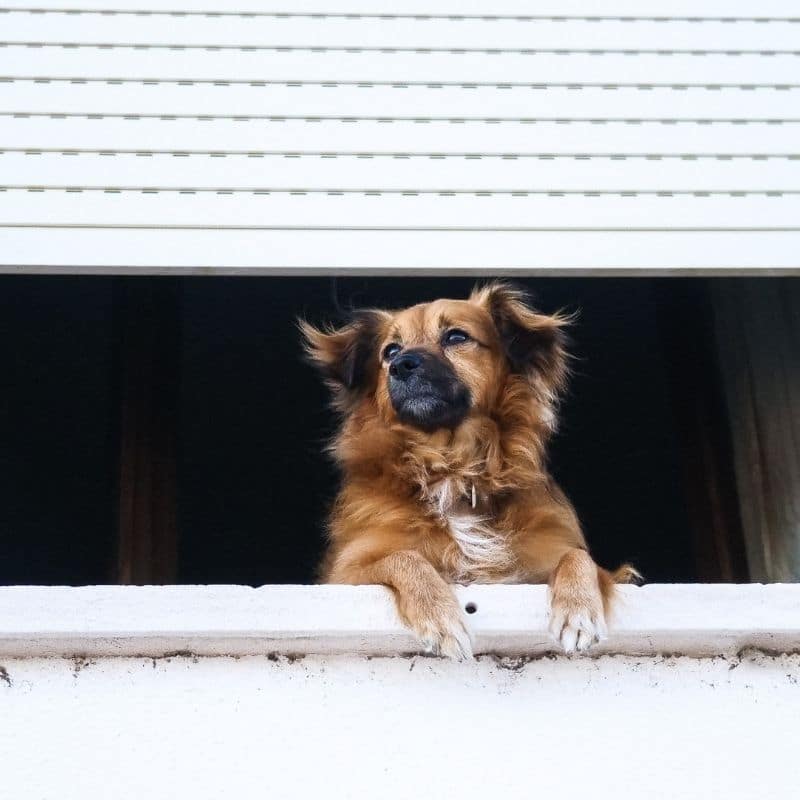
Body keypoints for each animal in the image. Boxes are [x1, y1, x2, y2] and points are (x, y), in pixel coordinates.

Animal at [302, 282, 636, 656]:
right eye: (390, 351)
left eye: (456, 337)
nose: (401, 365)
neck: (453, 467)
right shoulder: (344, 574)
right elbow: (405, 557)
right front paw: (441, 618)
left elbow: (579, 559)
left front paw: (578, 612)